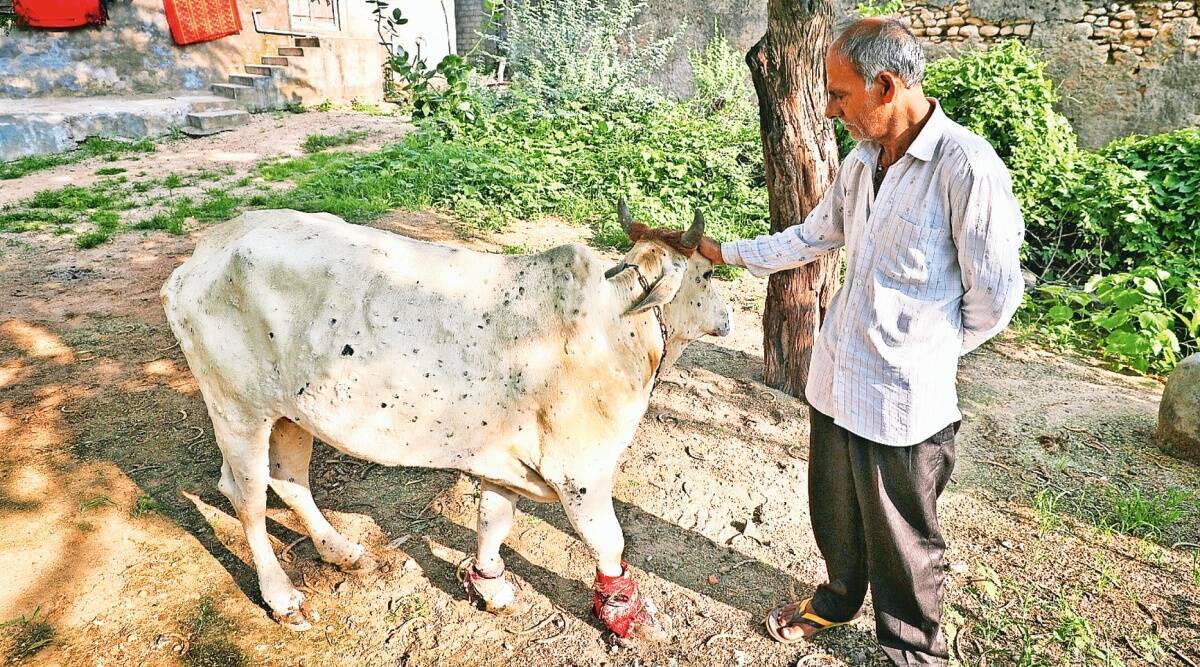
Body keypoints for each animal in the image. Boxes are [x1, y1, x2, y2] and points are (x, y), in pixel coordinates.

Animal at [160, 204, 731, 641]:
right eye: (706, 275)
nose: (728, 318)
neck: (622, 324)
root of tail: (203, 255)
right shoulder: (582, 473)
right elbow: (608, 544)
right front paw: (628, 617)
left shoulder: (506, 461)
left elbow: (494, 520)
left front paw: (490, 585)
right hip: (237, 410)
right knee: (247, 498)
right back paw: (282, 597)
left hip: (289, 413)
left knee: (288, 481)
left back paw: (342, 552)